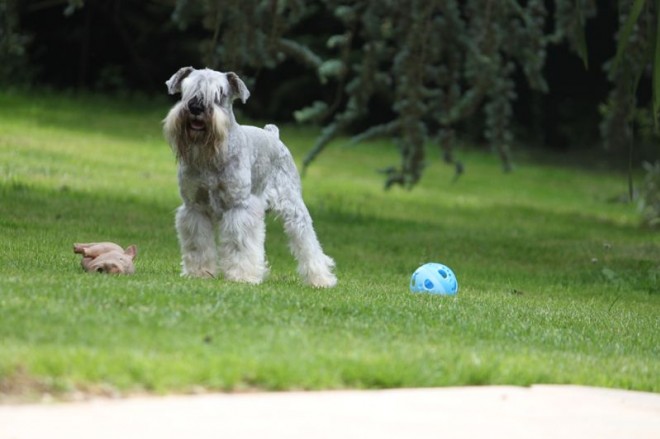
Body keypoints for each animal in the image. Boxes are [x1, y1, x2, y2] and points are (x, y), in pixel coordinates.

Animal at [160, 66, 336, 288]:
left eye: (219, 93)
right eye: (186, 90)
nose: (196, 107)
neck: (211, 156)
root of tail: (273, 134)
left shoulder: (239, 208)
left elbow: (239, 244)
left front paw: (242, 275)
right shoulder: (195, 209)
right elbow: (198, 244)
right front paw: (200, 272)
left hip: (294, 207)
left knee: (308, 243)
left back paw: (320, 279)